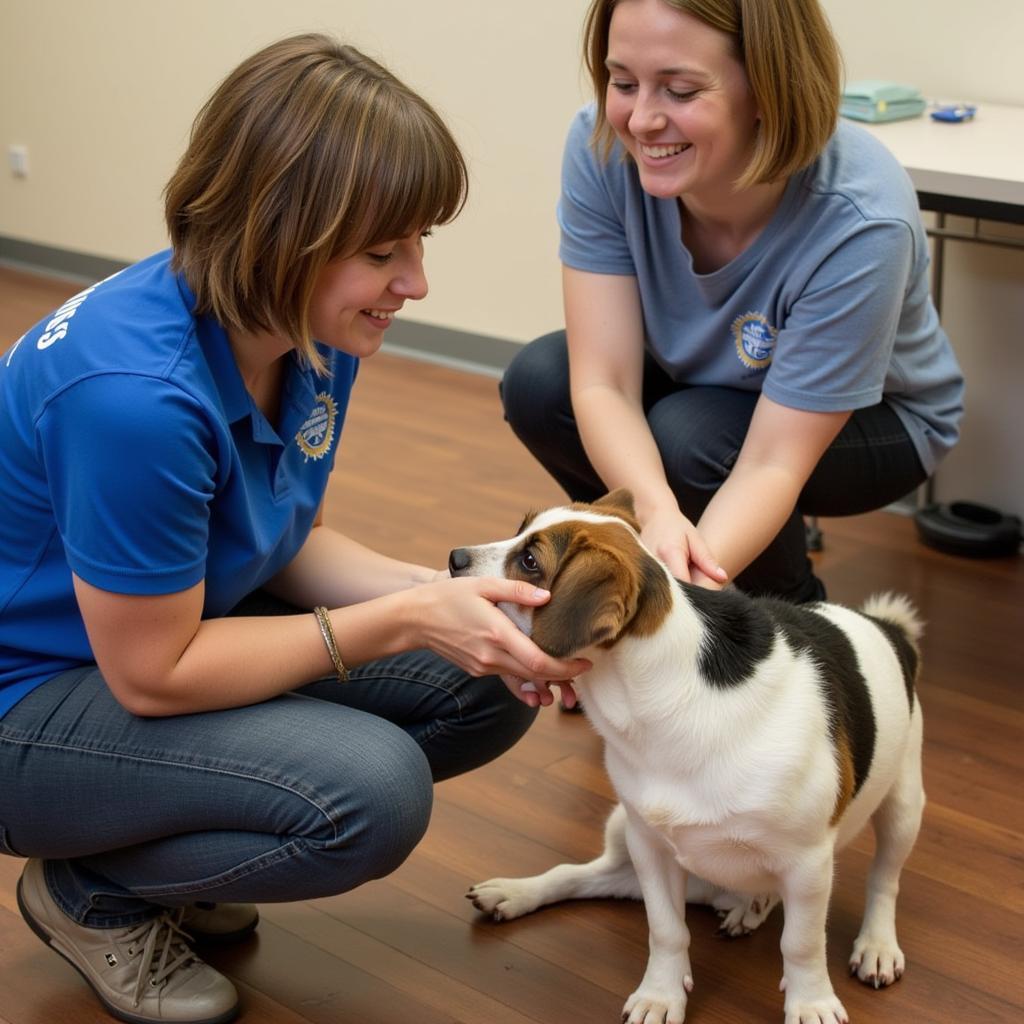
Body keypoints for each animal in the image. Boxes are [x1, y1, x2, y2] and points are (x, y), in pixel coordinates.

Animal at [452, 487, 925, 1024]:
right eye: (519, 530)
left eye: (530, 560)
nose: (454, 558)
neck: (660, 700)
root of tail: (887, 625)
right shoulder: (650, 847)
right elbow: (666, 929)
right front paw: (661, 992)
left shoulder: (808, 864)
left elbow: (802, 943)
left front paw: (812, 1003)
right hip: (628, 832)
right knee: (584, 874)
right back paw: (518, 892)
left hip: (903, 807)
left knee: (884, 879)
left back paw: (875, 944)